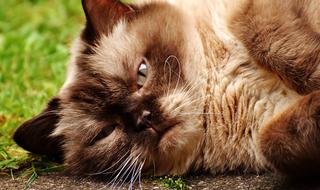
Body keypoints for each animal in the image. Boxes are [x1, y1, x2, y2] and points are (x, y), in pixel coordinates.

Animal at [13, 0, 320, 183]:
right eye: (106, 132)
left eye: (141, 73)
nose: (144, 118)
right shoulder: (264, 137)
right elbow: (271, 141)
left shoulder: (253, 12)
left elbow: (268, 38)